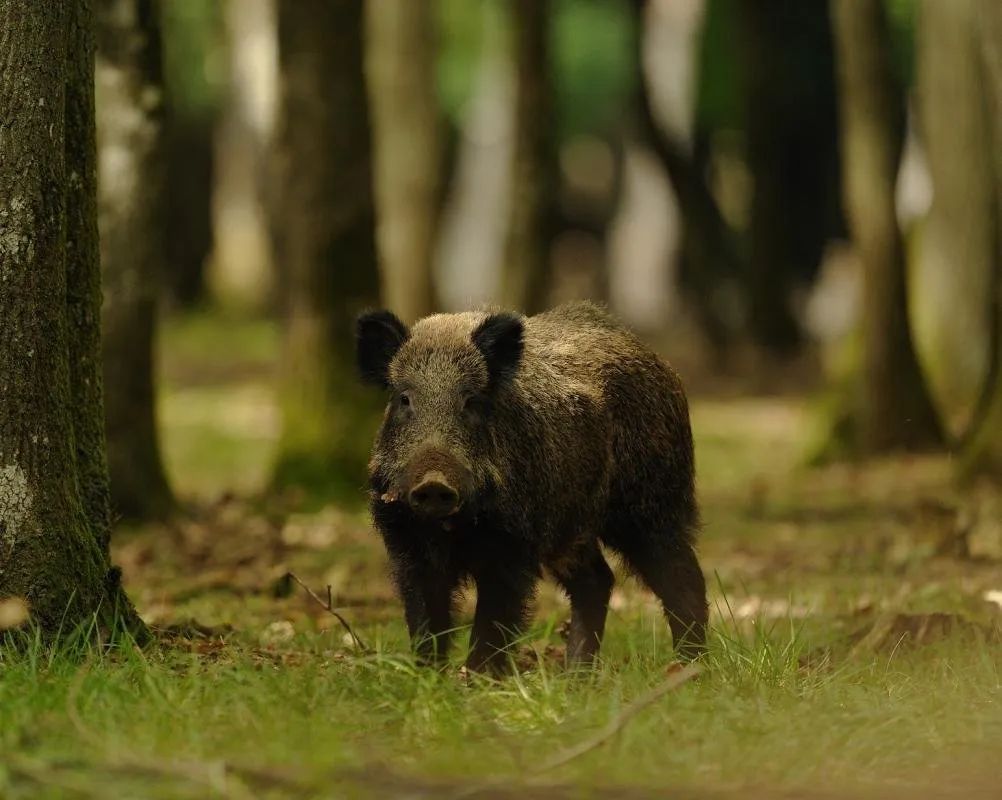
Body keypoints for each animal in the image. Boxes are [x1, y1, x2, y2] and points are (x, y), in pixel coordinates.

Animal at [356, 301, 707, 673]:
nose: (434, 481)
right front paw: (429, 676)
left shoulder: (513, 546)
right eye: (404, 399)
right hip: (571, 528)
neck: (453, 528)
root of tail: (659, 360)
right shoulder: (408, 547)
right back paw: (575, 675)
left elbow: (493, 624)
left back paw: (690, 667)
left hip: (652, 503)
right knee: (597, 580)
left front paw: (477, 680)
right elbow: (426, 621)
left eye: (470, 401)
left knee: (682, 577)